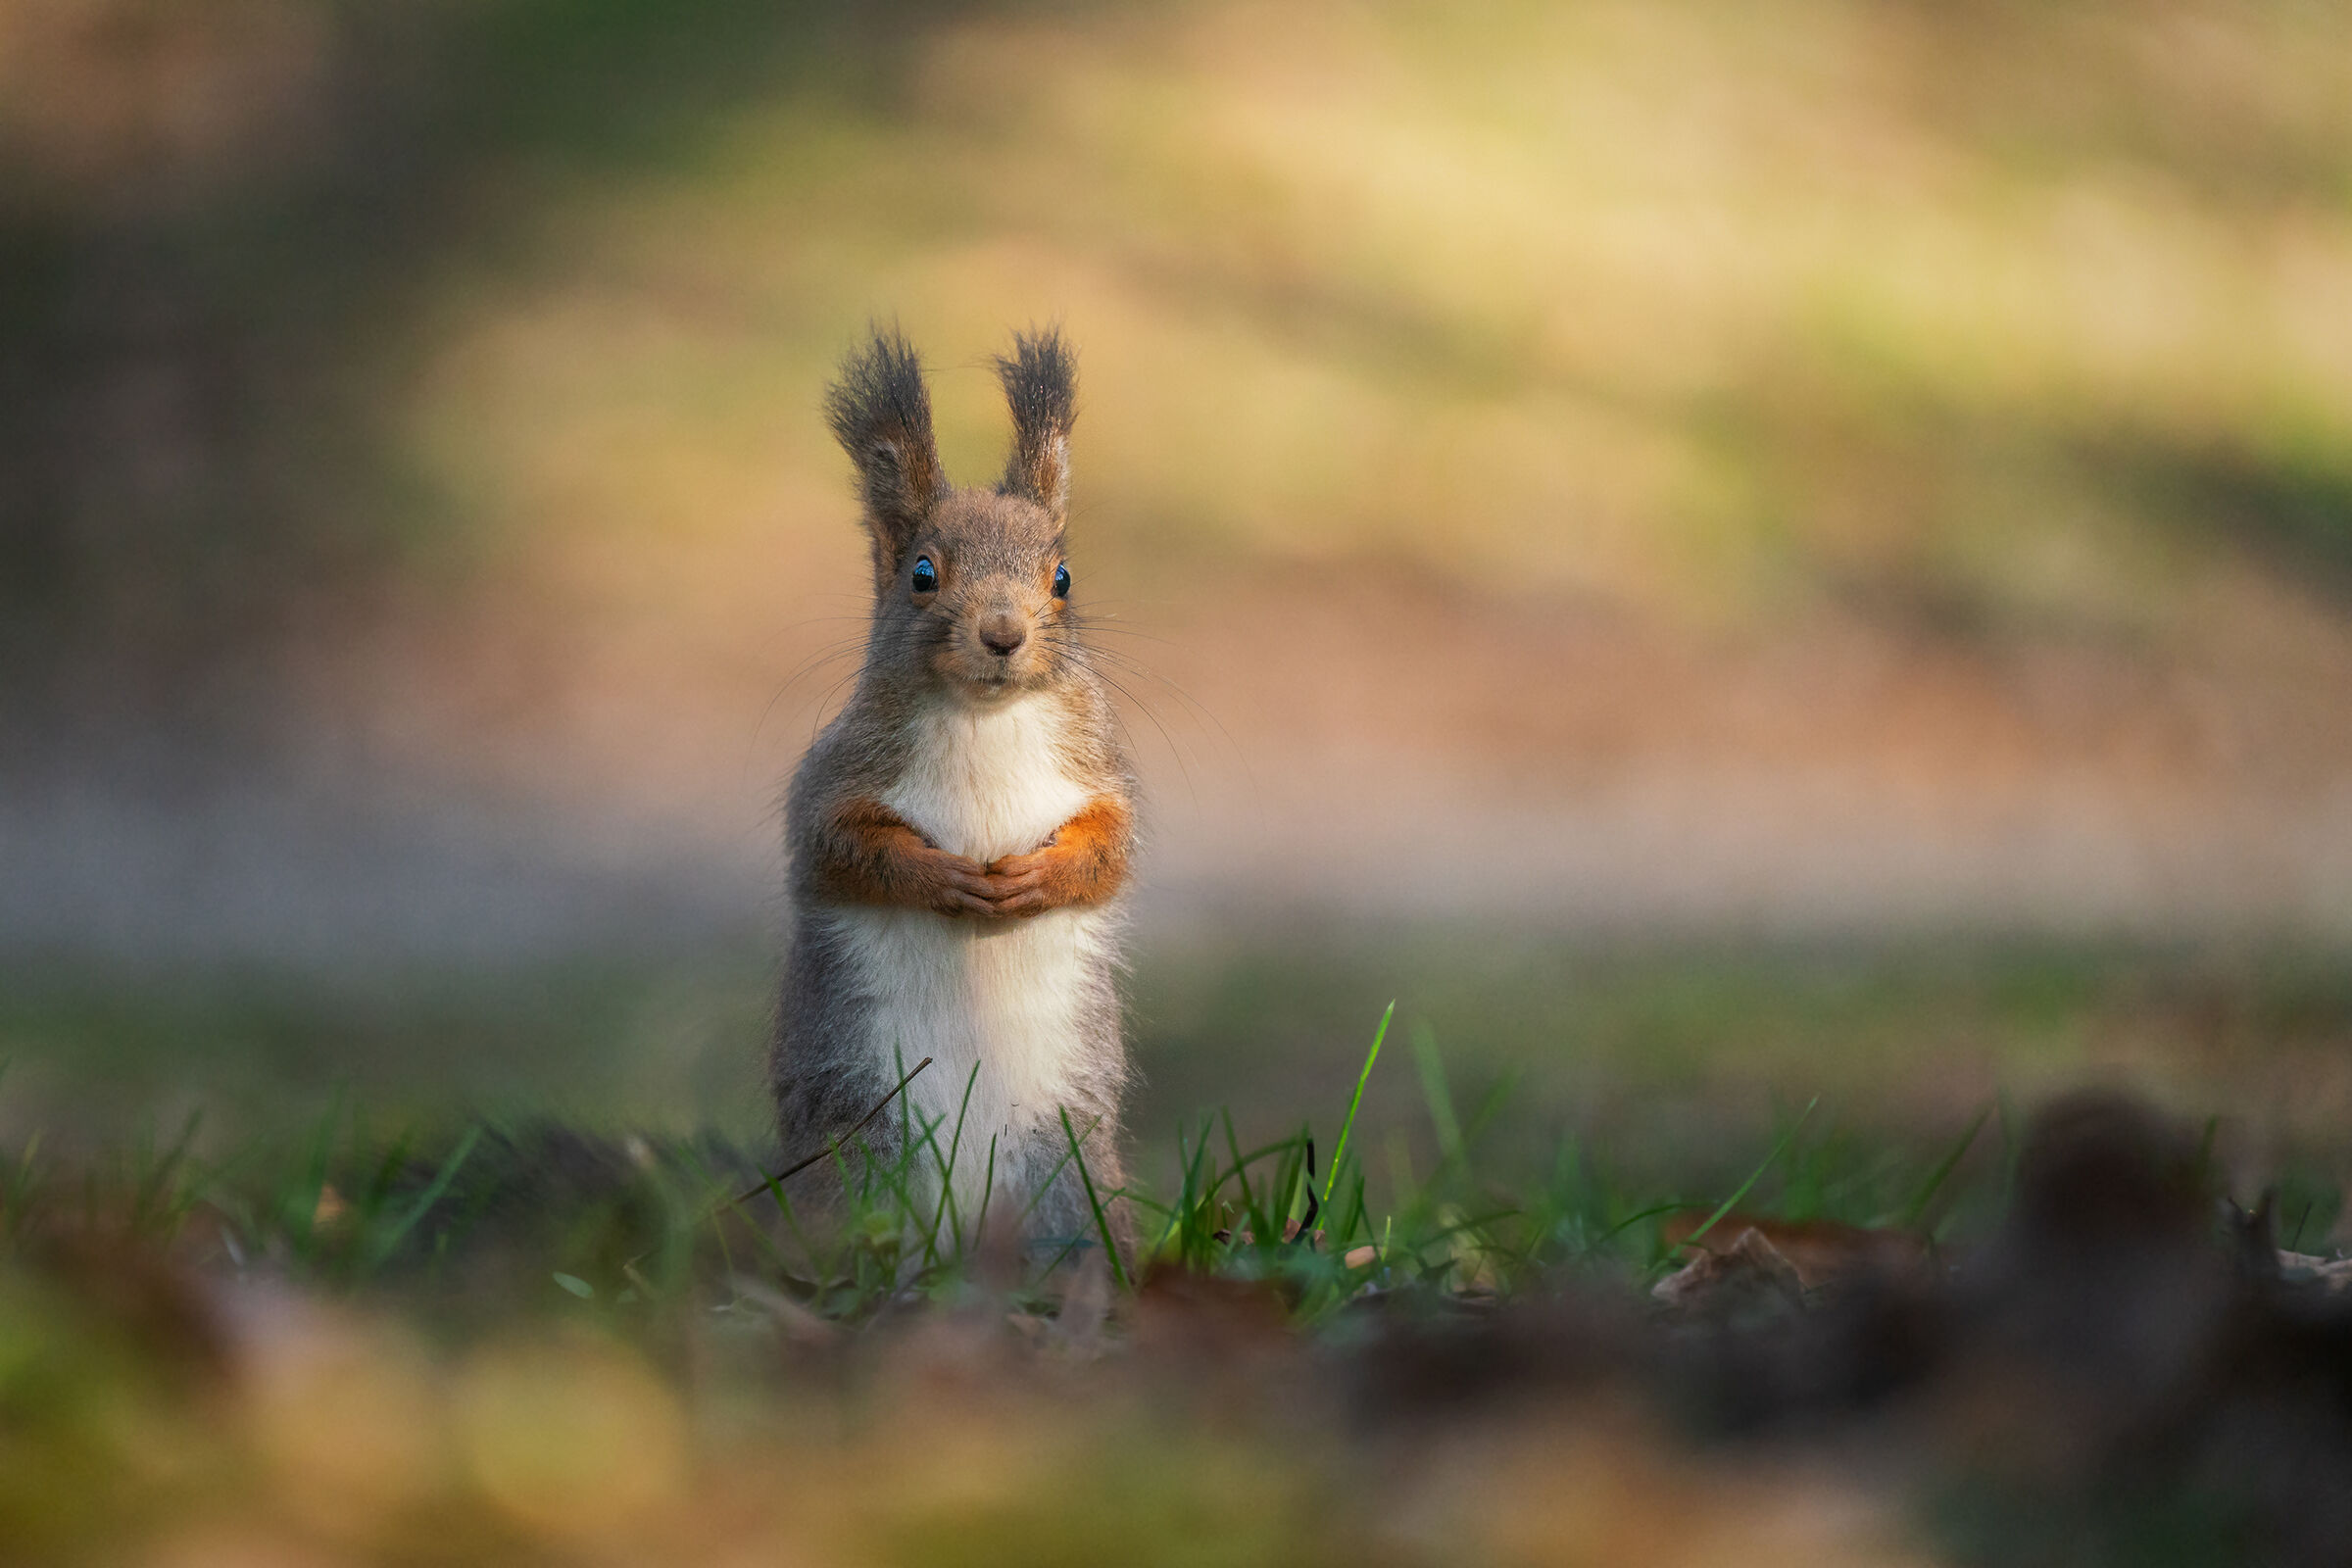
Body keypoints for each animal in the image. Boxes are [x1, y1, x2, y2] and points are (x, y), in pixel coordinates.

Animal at [768, 325, 1136, 1256]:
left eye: (1063, 578)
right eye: (922, 576)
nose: (1002, 634)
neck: (984, 714)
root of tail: (965, 1237)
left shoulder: (1095, 766)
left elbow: (1112, 848)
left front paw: (1038, 877)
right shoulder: (839, 774)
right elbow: (837, 847)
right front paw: (944, 877)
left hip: (1064, 1163)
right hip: (862, 1149)